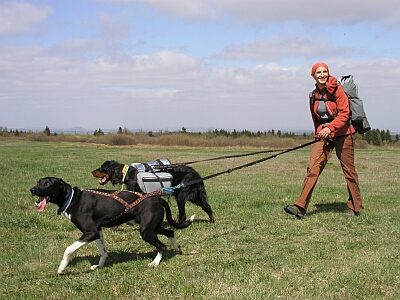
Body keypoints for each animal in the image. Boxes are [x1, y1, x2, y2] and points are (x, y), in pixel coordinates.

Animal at [30, 178, 195, 274]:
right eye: (38, 181)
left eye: (48, 183)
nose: (32, 190)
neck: (73, 198)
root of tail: (157, 199)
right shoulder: (98, 231)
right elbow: (103, 252)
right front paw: (99, 266)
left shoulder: (90, 232)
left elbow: (68, 249)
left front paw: (61, 268)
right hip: (152, 227)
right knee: (170, 232)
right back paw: (177, 248)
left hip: (146, 232)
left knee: (162, 246)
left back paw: (155, 262)